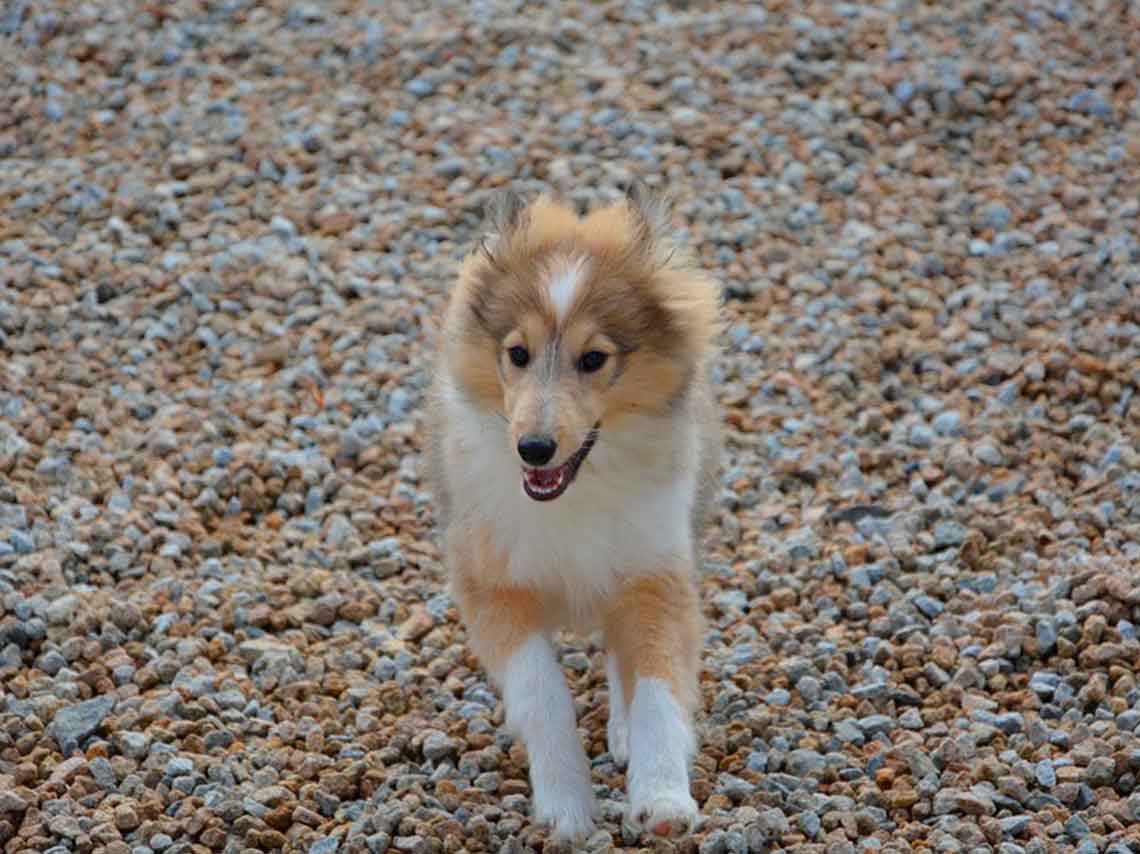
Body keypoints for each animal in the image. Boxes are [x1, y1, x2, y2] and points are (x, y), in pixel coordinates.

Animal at [428, 183, 720, 843]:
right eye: (517, 353)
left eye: (593, 359)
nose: (534, 448)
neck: (574, 493)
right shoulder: (493, 582)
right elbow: (543, 693)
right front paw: (567, 808)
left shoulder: (654, 570)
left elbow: (659, 683)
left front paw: (662, 800)